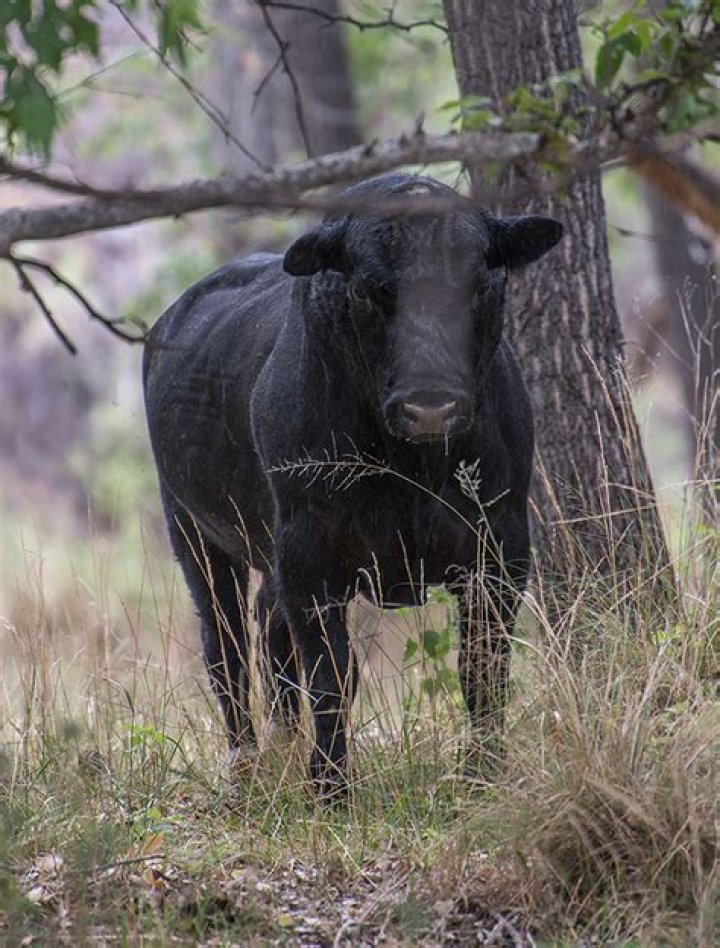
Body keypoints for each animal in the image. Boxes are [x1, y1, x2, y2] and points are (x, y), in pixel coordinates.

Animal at [143, 173, 563, 798]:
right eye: (368, 291)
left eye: (482, 284)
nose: (430, 407)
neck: (410, 467)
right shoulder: (310, 556)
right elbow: (332, 675)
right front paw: (332, 786)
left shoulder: (500, 548)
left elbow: (482, 668)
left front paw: (484, 772)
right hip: (194, 531)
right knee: (226, 645)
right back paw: (246, 763)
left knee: (268, 630)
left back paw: (283, 741)